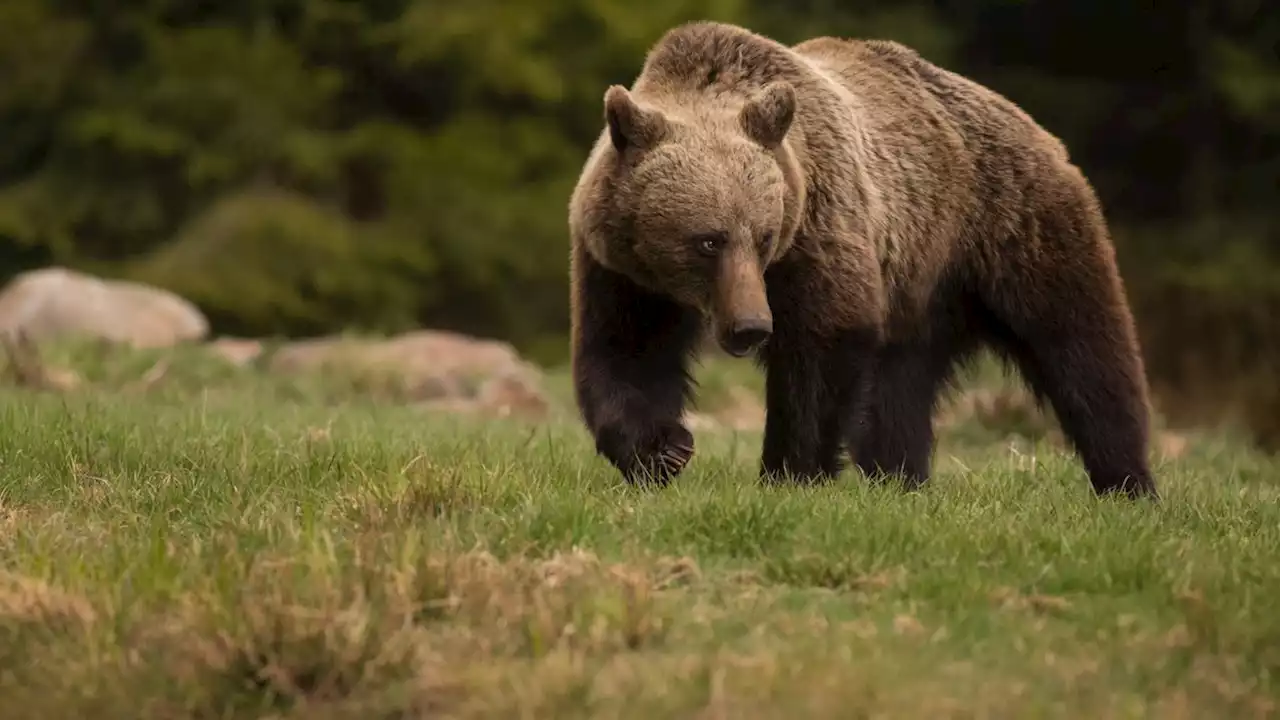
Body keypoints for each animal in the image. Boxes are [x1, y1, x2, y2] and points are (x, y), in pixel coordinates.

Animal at [570, 20, 1162, 491]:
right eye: (708, 239)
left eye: (763, 236)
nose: (751, 326)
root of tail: (1033, 125)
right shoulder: (623, 268)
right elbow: (626, 349)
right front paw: (662, 449)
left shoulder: (819, 228)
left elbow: (823, 344)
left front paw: (790, 472)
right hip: (922, 291)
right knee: (900, 392)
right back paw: (899, 479)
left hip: (1012, 226)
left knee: (1083, 347)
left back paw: (1128, 481)